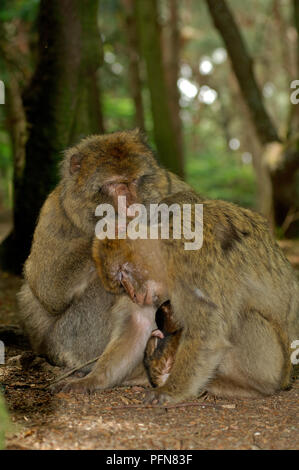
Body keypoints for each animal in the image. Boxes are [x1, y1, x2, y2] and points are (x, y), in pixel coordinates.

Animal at [17, 130, 190, 392]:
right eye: (114, 184)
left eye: (134, 181)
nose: (130, 201)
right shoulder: (54, 212)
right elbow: (47, 288)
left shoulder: (170, 184)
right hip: (61, 342)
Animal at [92, 192, 299, 404]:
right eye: (120, 285)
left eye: (122, 274)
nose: (133, 294)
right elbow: (138, 323)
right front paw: (93, 379)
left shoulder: (189, 259)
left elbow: (206, 331)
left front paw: (170, 390)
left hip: (273, 365)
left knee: (242, 318)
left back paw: (248, 387)